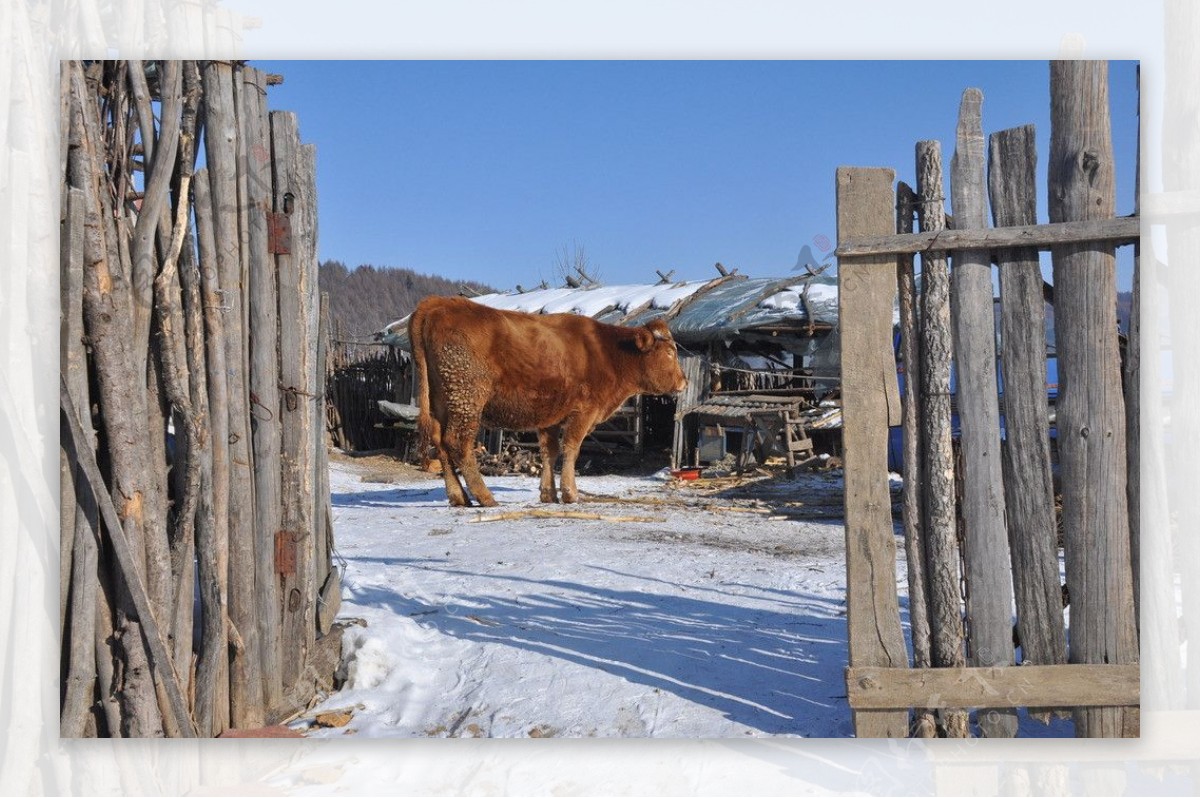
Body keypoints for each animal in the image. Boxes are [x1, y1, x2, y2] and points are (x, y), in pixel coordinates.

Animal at [408, 295, 686, 506]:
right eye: (670, 353)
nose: (684, 381)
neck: (608, 352)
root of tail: (439, 302)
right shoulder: (583, 412)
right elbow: (571, 448)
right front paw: (570, 493)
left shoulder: (550, 415)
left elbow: (549, 452)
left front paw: (548, 494)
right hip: (468, 398)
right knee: (458, 443)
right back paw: (485, 496)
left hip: (442, 402)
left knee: (440, 442)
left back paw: (459, 496)